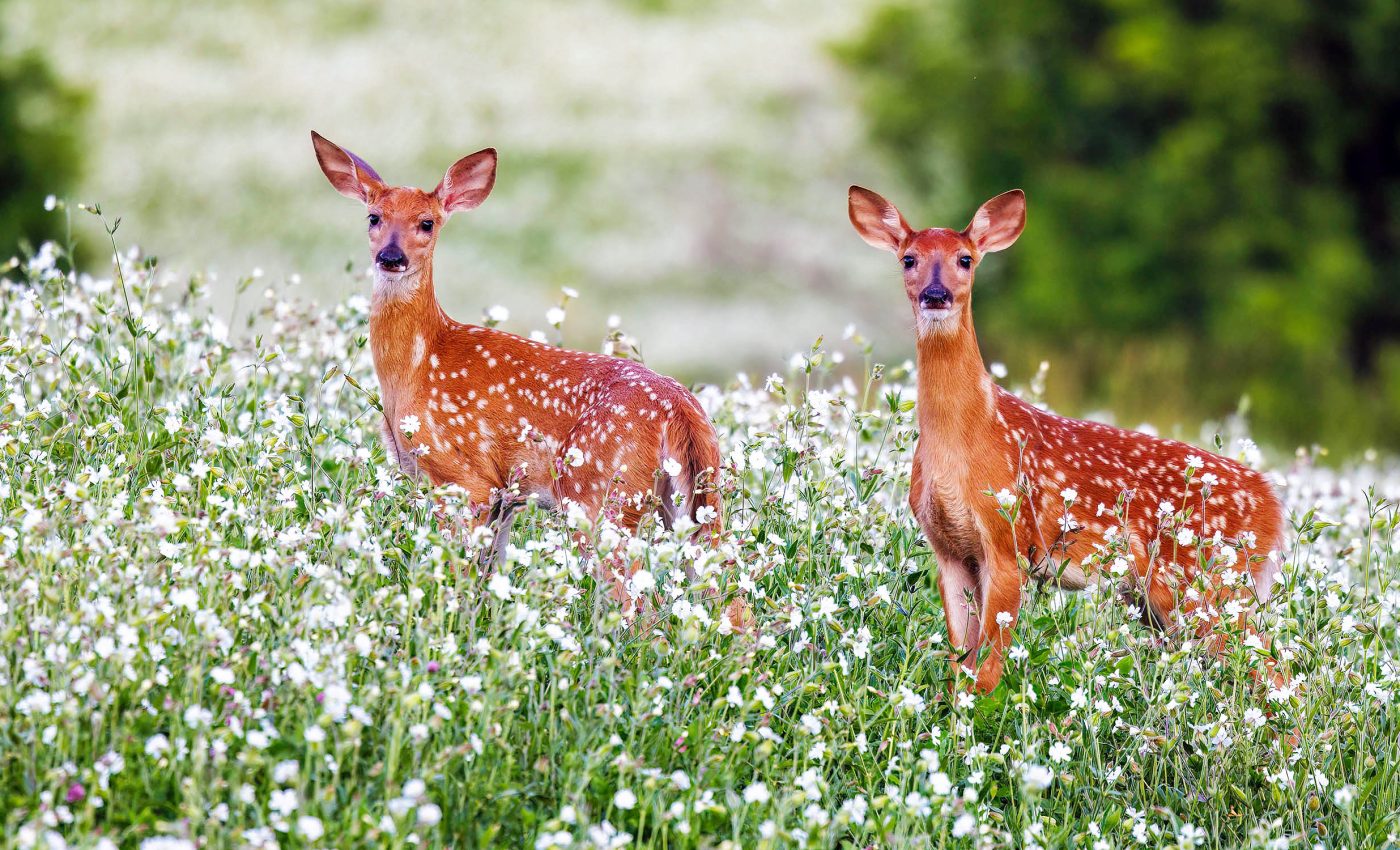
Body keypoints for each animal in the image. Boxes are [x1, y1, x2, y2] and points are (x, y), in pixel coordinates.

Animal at [311, 131, 728, 612]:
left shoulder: (463, 477)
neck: (417, 365)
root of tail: (680, 409)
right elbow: (490, 574)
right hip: (692, 497)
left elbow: (459, 573)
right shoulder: (506, 494)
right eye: (374, 217)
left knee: (638, 601)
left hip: (599, 494)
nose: (390, 256)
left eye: (427, 223)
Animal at [848, 186, 1287, 693]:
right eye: (908, 259)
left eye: (965, 259)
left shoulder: (1009, 540)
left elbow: (988, 671)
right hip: (1165, 599)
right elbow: (961, 663)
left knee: (1275, 669)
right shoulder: (950, 551)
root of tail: (1273, 505)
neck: (968, 437)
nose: (935, 294)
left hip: (1206, 581)